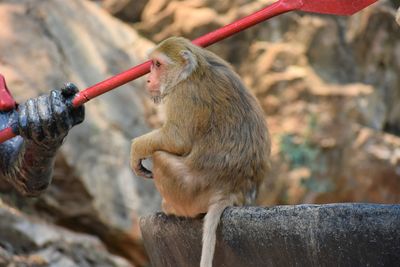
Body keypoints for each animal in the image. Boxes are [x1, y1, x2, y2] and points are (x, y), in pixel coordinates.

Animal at [130, 36, 270, 266]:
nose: (148, 80)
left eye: (157, 65)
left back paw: (174, 209)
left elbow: (177, 139)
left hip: (191, 191)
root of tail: (232, 191)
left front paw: (136, 149)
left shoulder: (184, 94)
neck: (189, 72)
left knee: (160, 157)